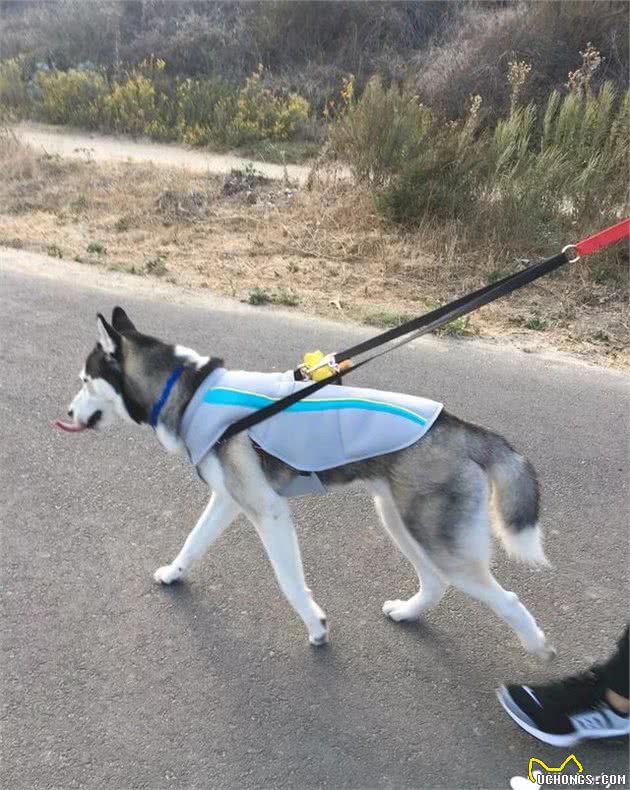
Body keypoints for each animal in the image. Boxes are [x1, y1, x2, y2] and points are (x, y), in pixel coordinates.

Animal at [56, 310, 556, 664]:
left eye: (84, 380)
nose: (67, 414)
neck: (190, 390)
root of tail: (459, 426)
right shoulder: (227, 501)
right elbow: (192, 543)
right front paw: (173, 573)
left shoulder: (269, 512)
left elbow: (291, 582)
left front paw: (316, 626)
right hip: (400, 521)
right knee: (435, 583)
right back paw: (407, 612)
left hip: (435, 539)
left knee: (506, 598)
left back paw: (538, 646)